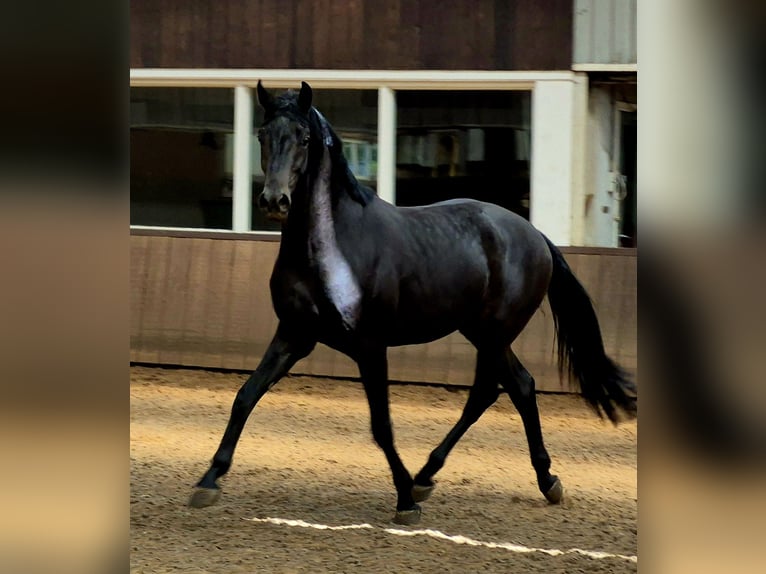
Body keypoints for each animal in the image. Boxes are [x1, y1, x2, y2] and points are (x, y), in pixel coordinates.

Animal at [188, 81, 637, 525]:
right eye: (262, 135)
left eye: (303, 138)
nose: (274, 200)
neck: (332, 246)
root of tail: (534, 234)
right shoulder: (294, 335)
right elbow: (245, 396)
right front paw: (208, 481)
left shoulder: (370, 346)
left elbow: (381, 425)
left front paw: (404, 500)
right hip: (481, 332)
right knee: (518, 387)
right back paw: (527, 480)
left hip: (494, 333)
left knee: (491, 391)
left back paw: (437, 479)